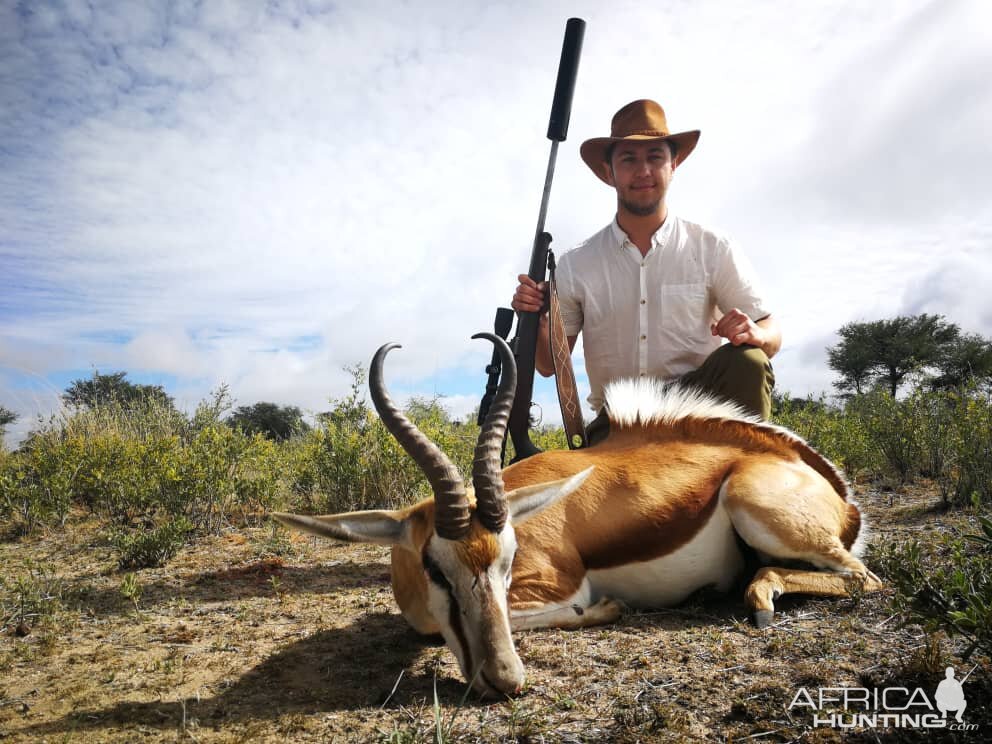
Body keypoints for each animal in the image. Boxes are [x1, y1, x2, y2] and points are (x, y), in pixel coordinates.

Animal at [268, 336, 880, 696]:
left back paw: (758, 600)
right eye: (434, 566)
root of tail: (834, 488)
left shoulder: (558, 586)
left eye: (509, 560)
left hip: (758, 510)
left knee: (862, 578)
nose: (506, 680)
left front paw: (606, 609)